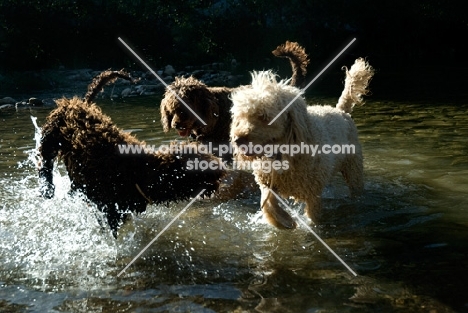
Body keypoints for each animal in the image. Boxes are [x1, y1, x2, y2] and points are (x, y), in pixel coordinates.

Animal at [37, 70, 227, 236]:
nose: (222, 171)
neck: (141, 171)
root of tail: (76, 103)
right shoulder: (109, 209)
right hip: (49, 139)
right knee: (44, 164)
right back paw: (47, 189)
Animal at [229, 58, 372, 228]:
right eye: (241, 116)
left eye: (264, 116)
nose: (237, 139)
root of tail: (341, 111)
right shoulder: (267, 183)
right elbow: (268, 204)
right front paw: (284, 221)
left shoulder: (312, 193)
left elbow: (313, 216)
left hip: (353, 169)